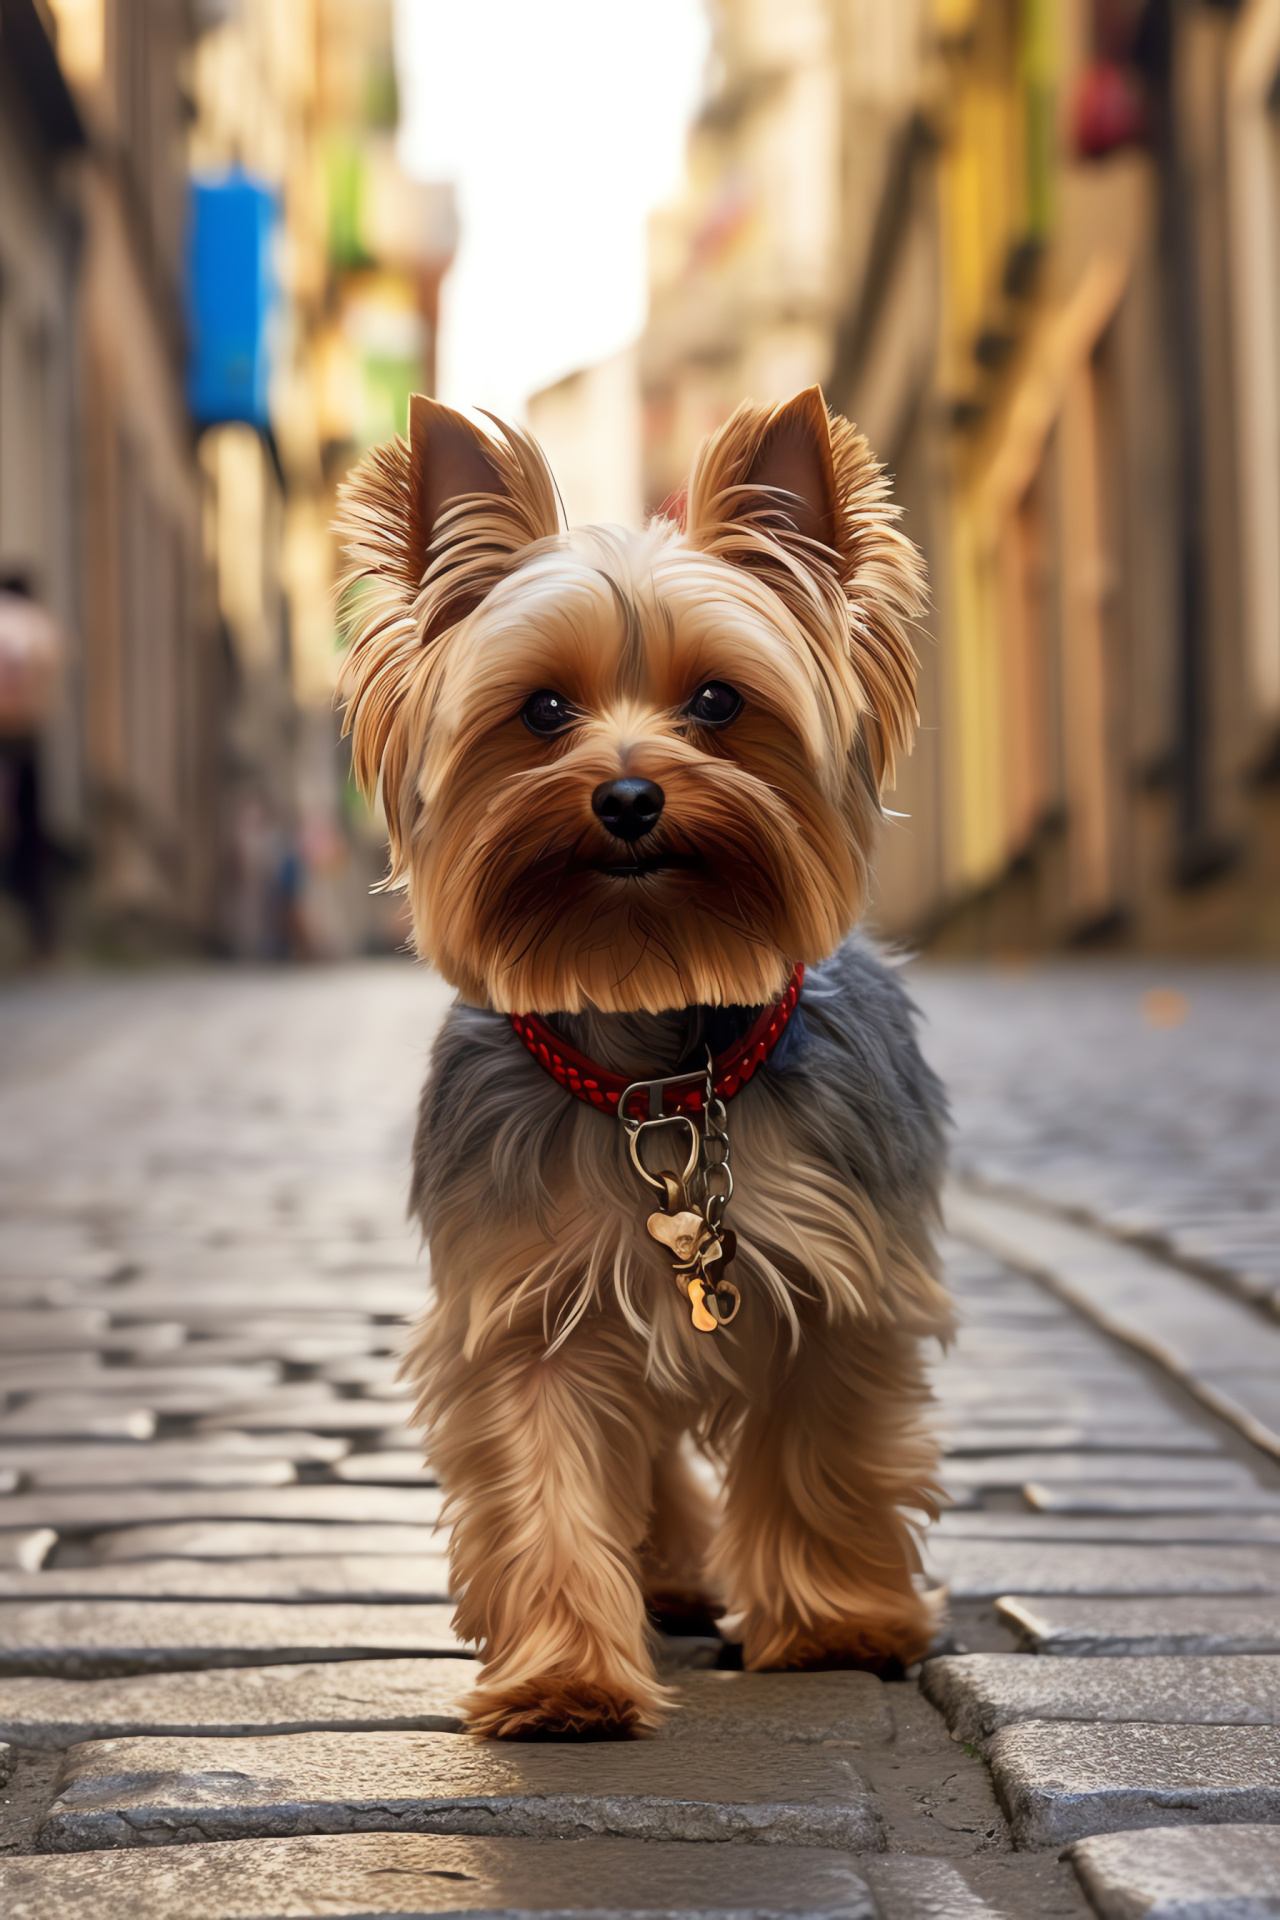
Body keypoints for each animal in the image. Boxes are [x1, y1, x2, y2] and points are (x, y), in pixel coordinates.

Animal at [335, 389, 955, 1743]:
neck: (654, 1067)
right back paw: (662, 1576)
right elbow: (545, 1482)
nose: (625, 796)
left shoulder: (837, 1282)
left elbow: (818, 1451)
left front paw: (831, 1626)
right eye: (540, 712)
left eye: (718, 702)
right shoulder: (526, 1302)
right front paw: (563, 1680)